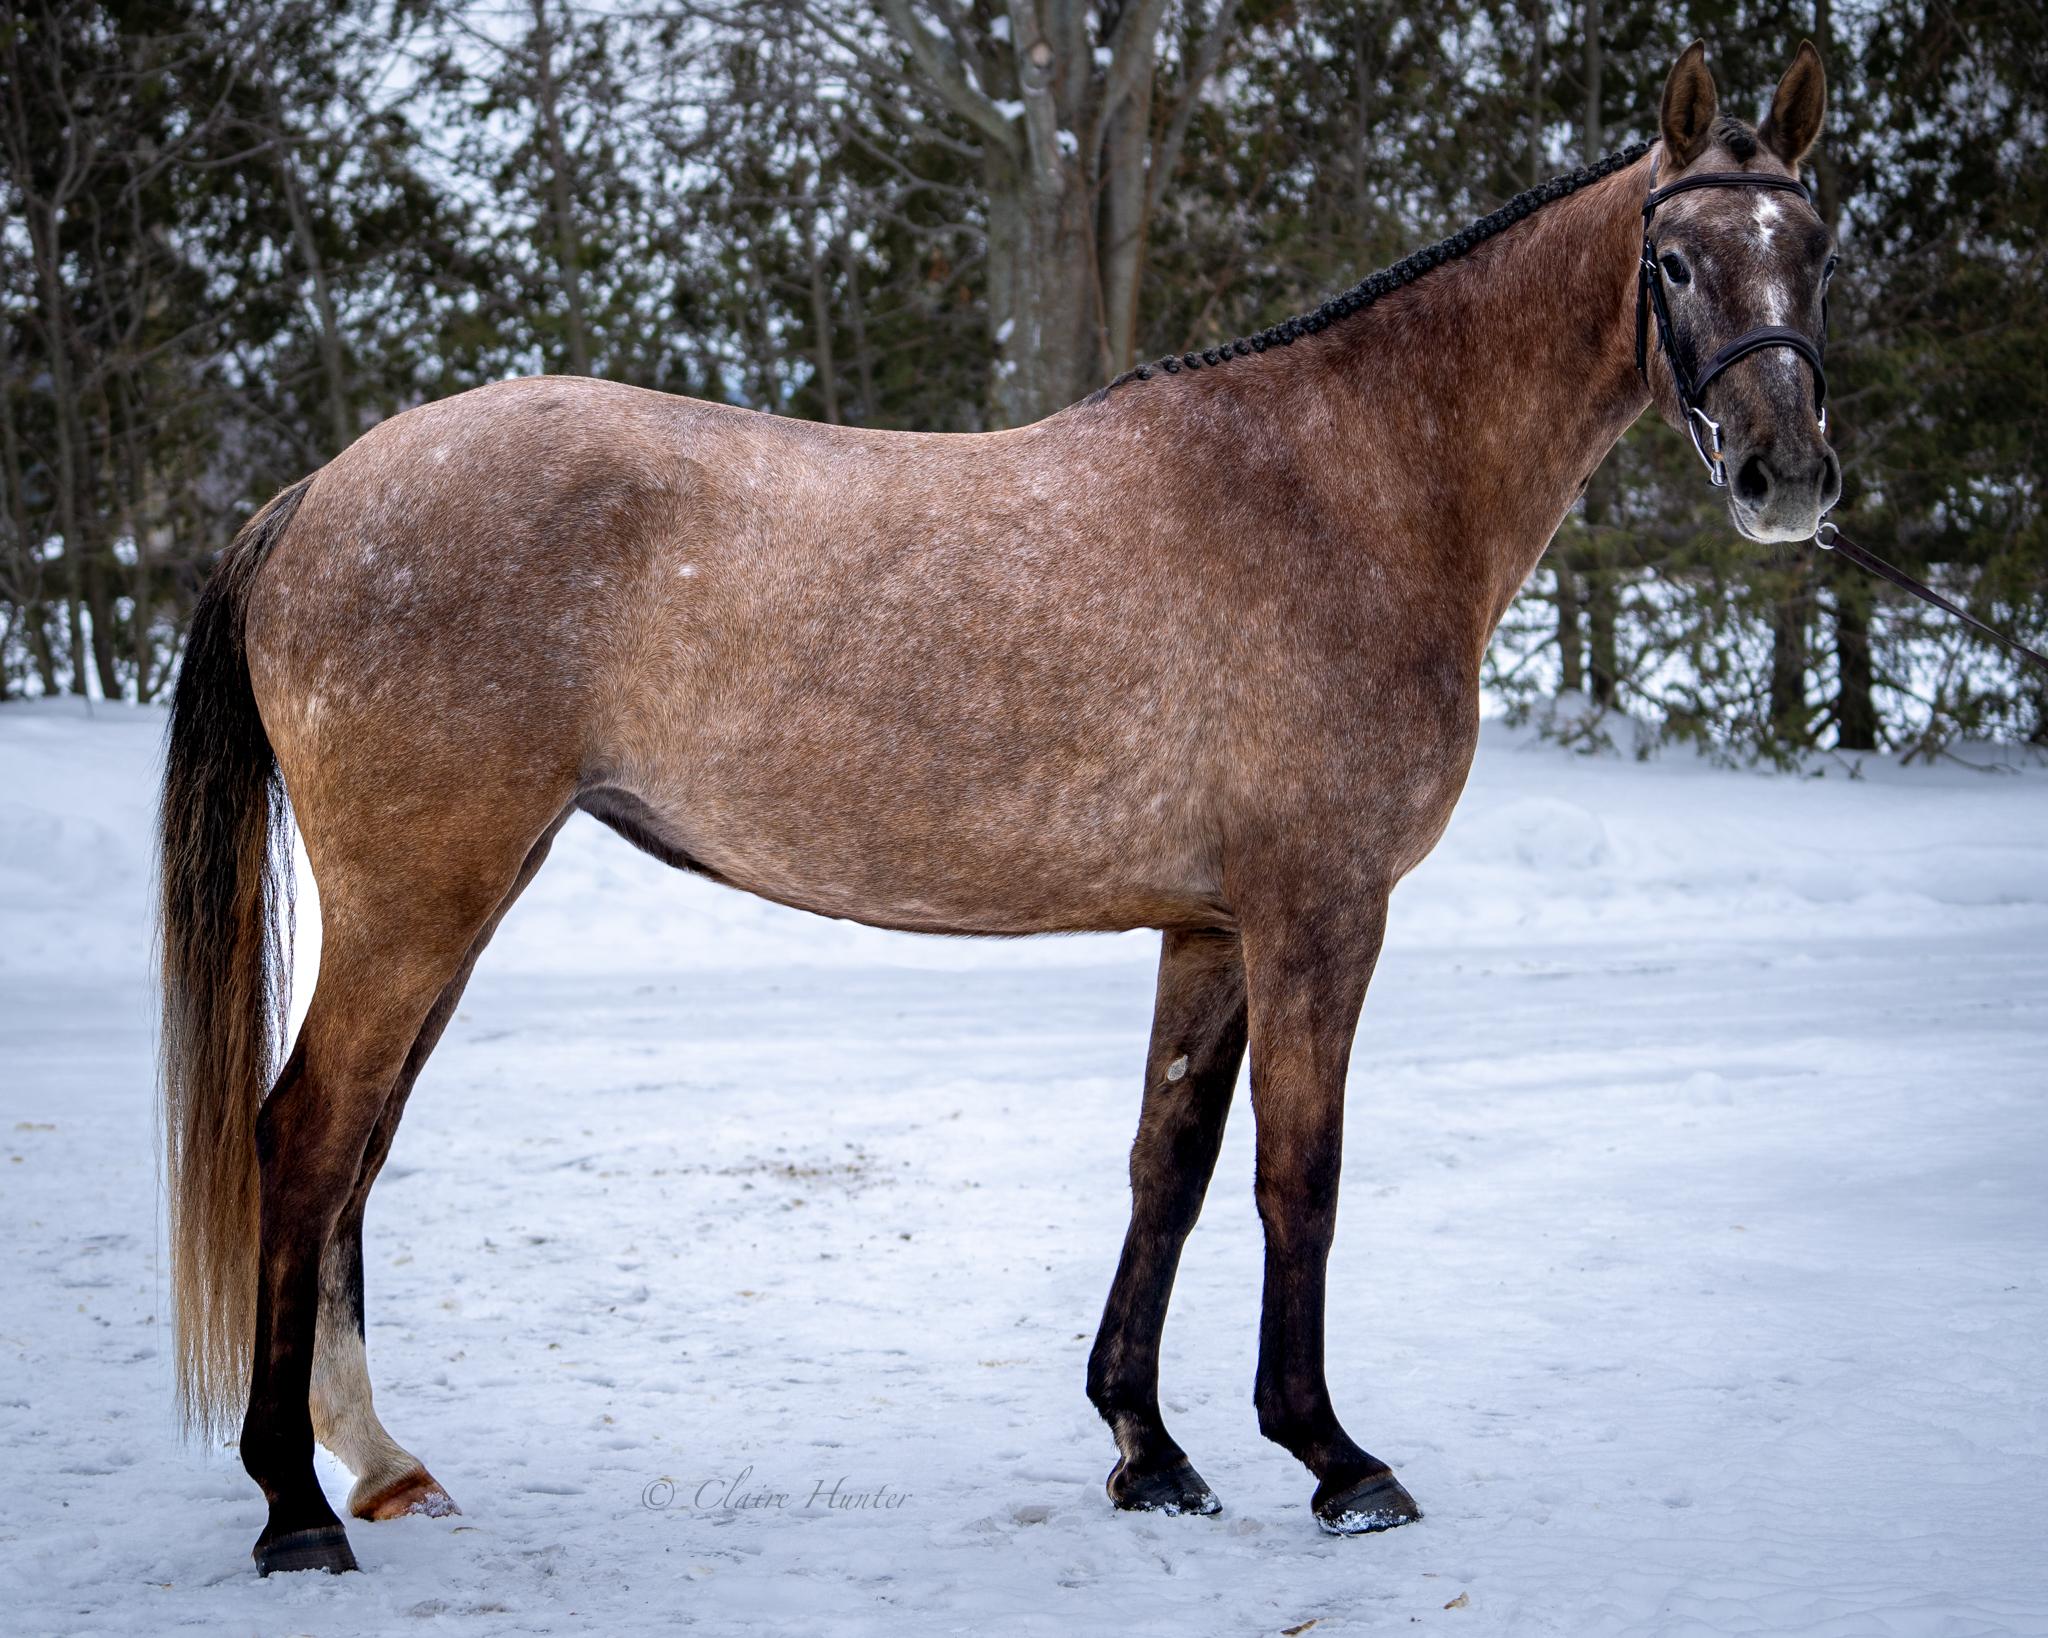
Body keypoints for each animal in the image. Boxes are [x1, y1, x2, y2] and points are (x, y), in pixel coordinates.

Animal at [157, 39, 1838, 1574]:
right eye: (1674, 259)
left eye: (1817, 250)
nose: (1789, 476)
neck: (1341, 486)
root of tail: (313, 496)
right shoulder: (1320, 912)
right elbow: (1299, 1174)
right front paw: (1333, 1456)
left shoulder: (1212, 924)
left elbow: (1170, 1166)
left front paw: (1148, 1448)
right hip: (420, 900)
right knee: (305, 1142)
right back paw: (296, 1507)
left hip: (463, 893)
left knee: (356, 1153)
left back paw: (379, 1464)